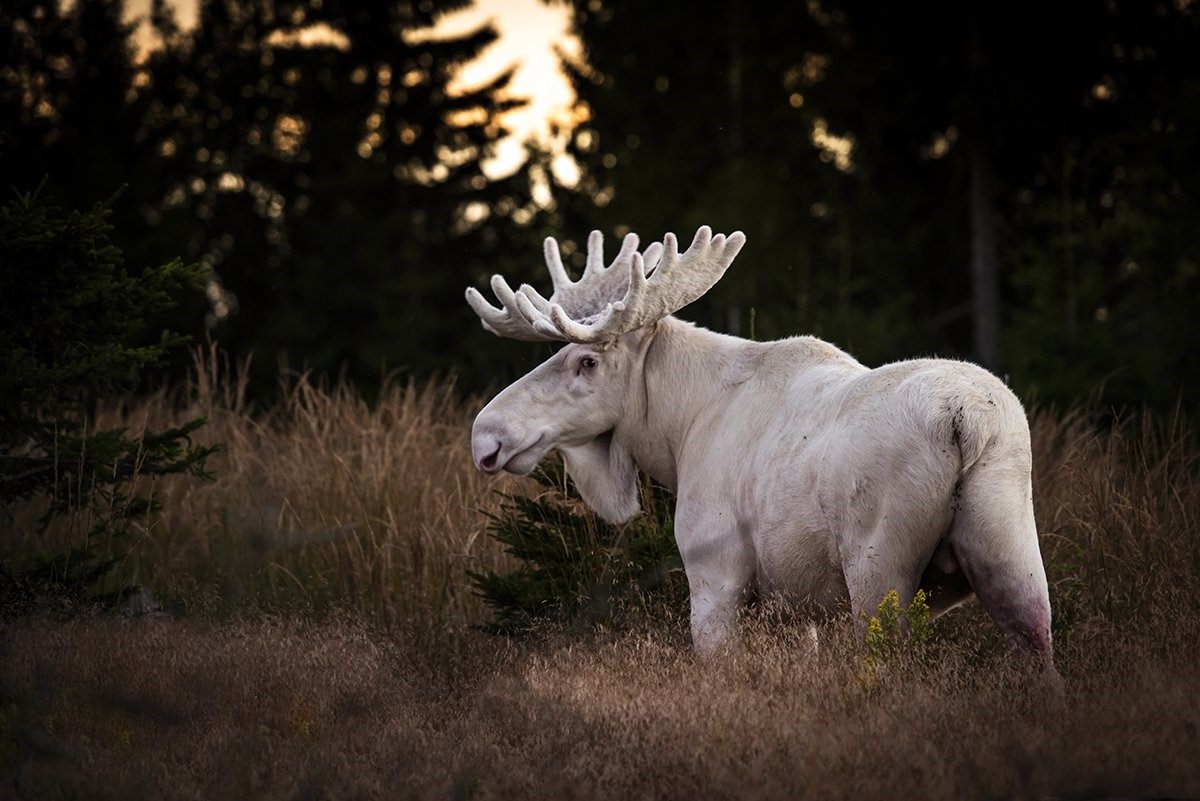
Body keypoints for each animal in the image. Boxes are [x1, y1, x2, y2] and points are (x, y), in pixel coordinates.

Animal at [465, 225, 1051, 661]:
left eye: (586, 361)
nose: (485, 435)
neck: (677, 432)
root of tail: (968, 421)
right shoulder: (795, 605)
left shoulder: (714, 572)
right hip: (1012, 549)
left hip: (879, 565)